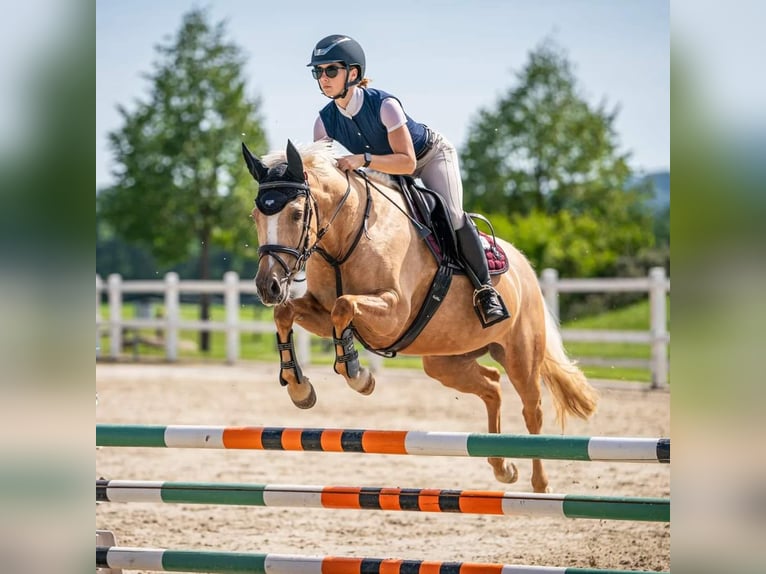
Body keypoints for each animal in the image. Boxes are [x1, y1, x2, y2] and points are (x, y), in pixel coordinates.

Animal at [243, 141, 596, 496]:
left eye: (296, 213)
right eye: (255, 216)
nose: (267, 286)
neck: (346, 239)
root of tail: (526, 268)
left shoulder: (392, 313)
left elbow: (344, 307)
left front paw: (359, 376)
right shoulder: (319, 310)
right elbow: (286, 312)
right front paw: (298, 387)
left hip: (520, 355)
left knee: (532, 409)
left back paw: (540, 484)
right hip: (445, 361)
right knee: (492, 386)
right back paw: (503, 468)